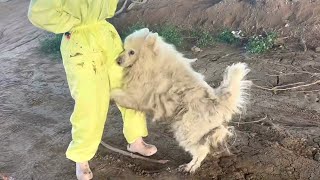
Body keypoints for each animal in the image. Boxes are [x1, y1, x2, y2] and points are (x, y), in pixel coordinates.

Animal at [111, 28, 251, 173]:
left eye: (132, 52)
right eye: (124, 49)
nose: (117, 61)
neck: (152, 62)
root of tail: (217, 102)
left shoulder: (137, 96)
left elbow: (115, 92)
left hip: (185, 130)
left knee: (201, 150)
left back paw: (190, 167)